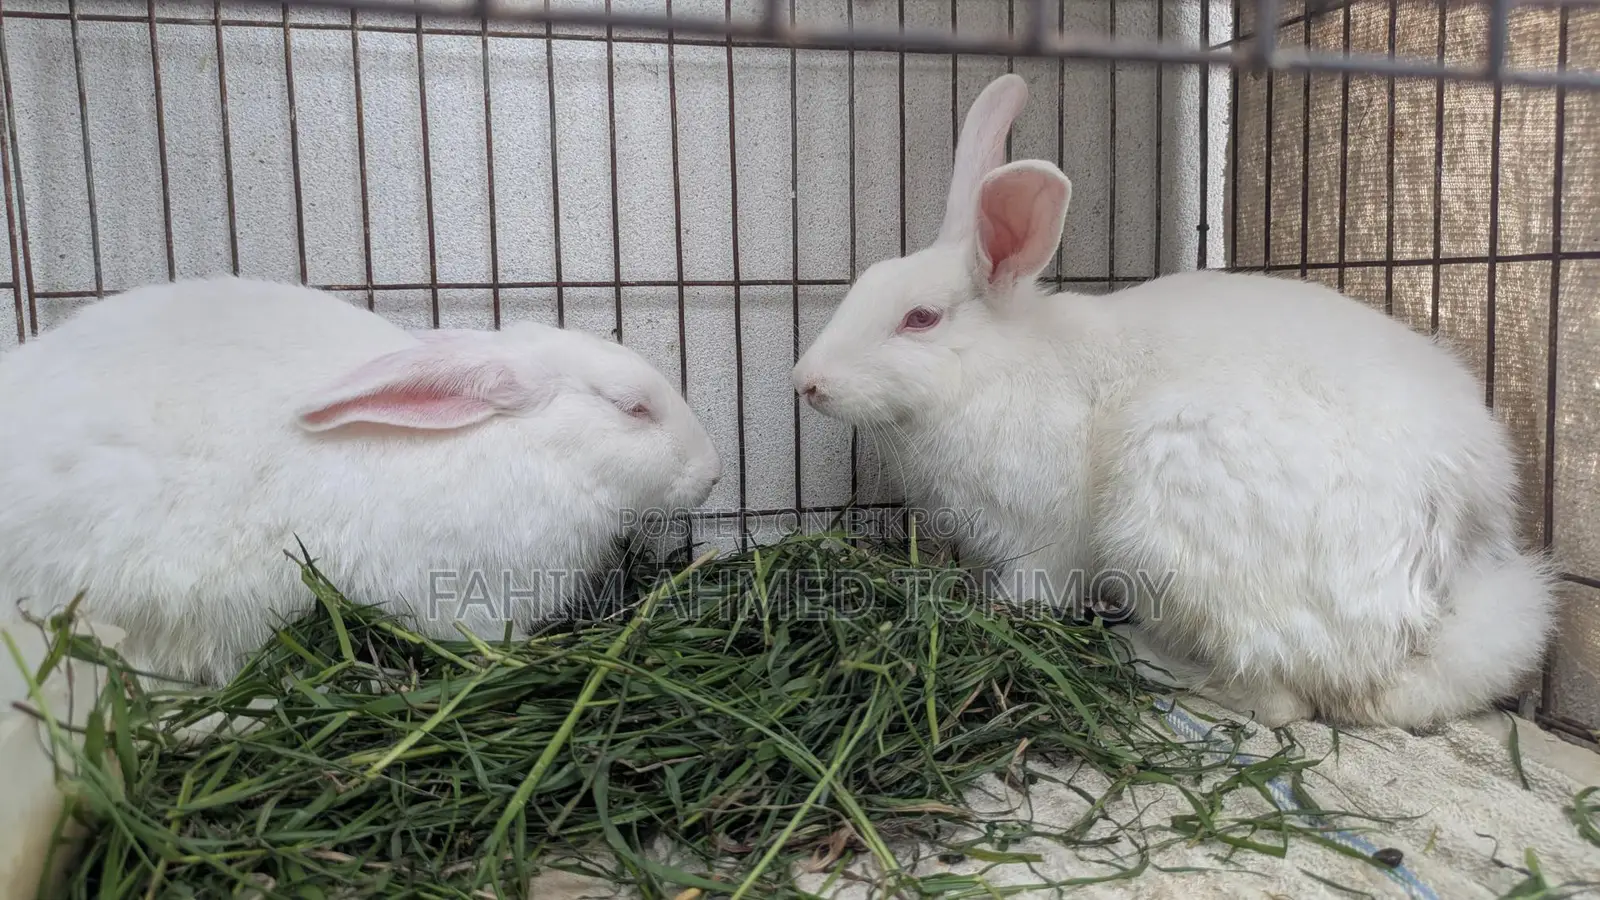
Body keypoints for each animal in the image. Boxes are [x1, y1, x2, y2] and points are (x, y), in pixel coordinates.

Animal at [790, 72, 1558, 730]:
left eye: (919, 319)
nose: (806, 383)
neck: (995, 365)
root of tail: (1447, 565)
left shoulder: (1040, 535)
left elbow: (1036, 588)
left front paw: (1002, 615)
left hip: (1172, 508)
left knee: (1282, 699)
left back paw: (1151, 661)